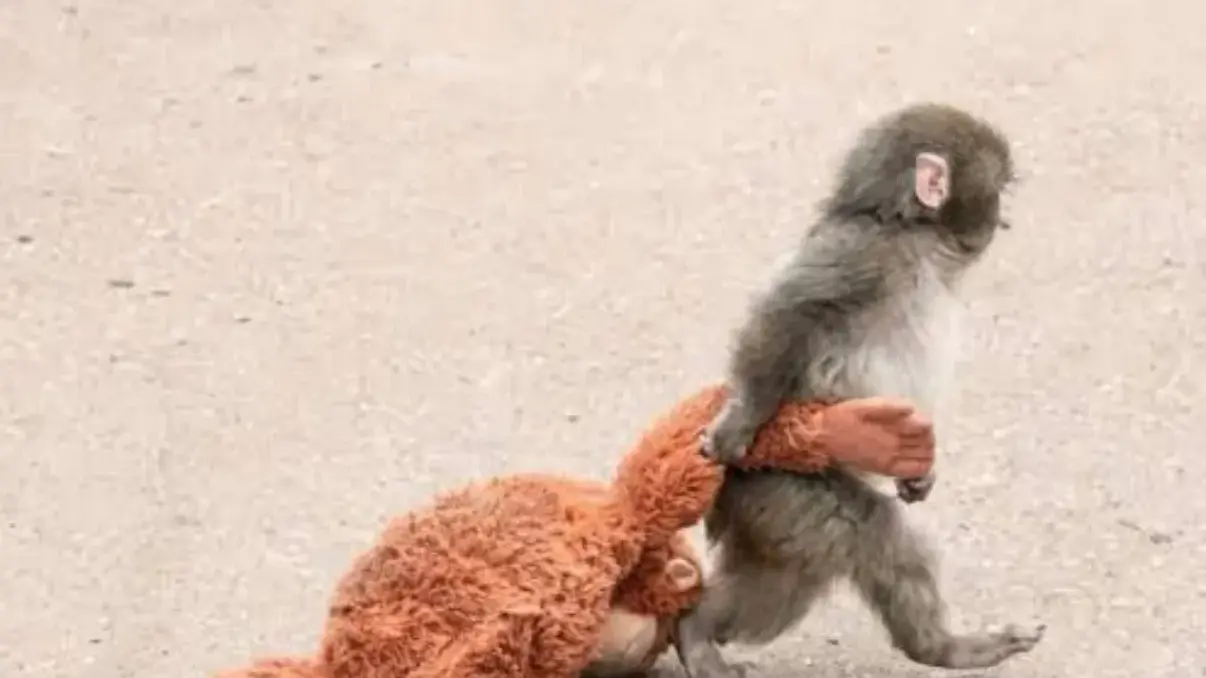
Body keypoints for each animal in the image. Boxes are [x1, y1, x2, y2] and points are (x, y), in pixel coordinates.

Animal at [673, 102, 1045, 678]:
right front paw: (741, 418)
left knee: (782, 583)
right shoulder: (863, 255)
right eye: (999, 188)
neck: (914, 235)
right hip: (784, 487)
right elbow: (791, 311)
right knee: (872, 534)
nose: (1003, 219)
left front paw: (920, 474)